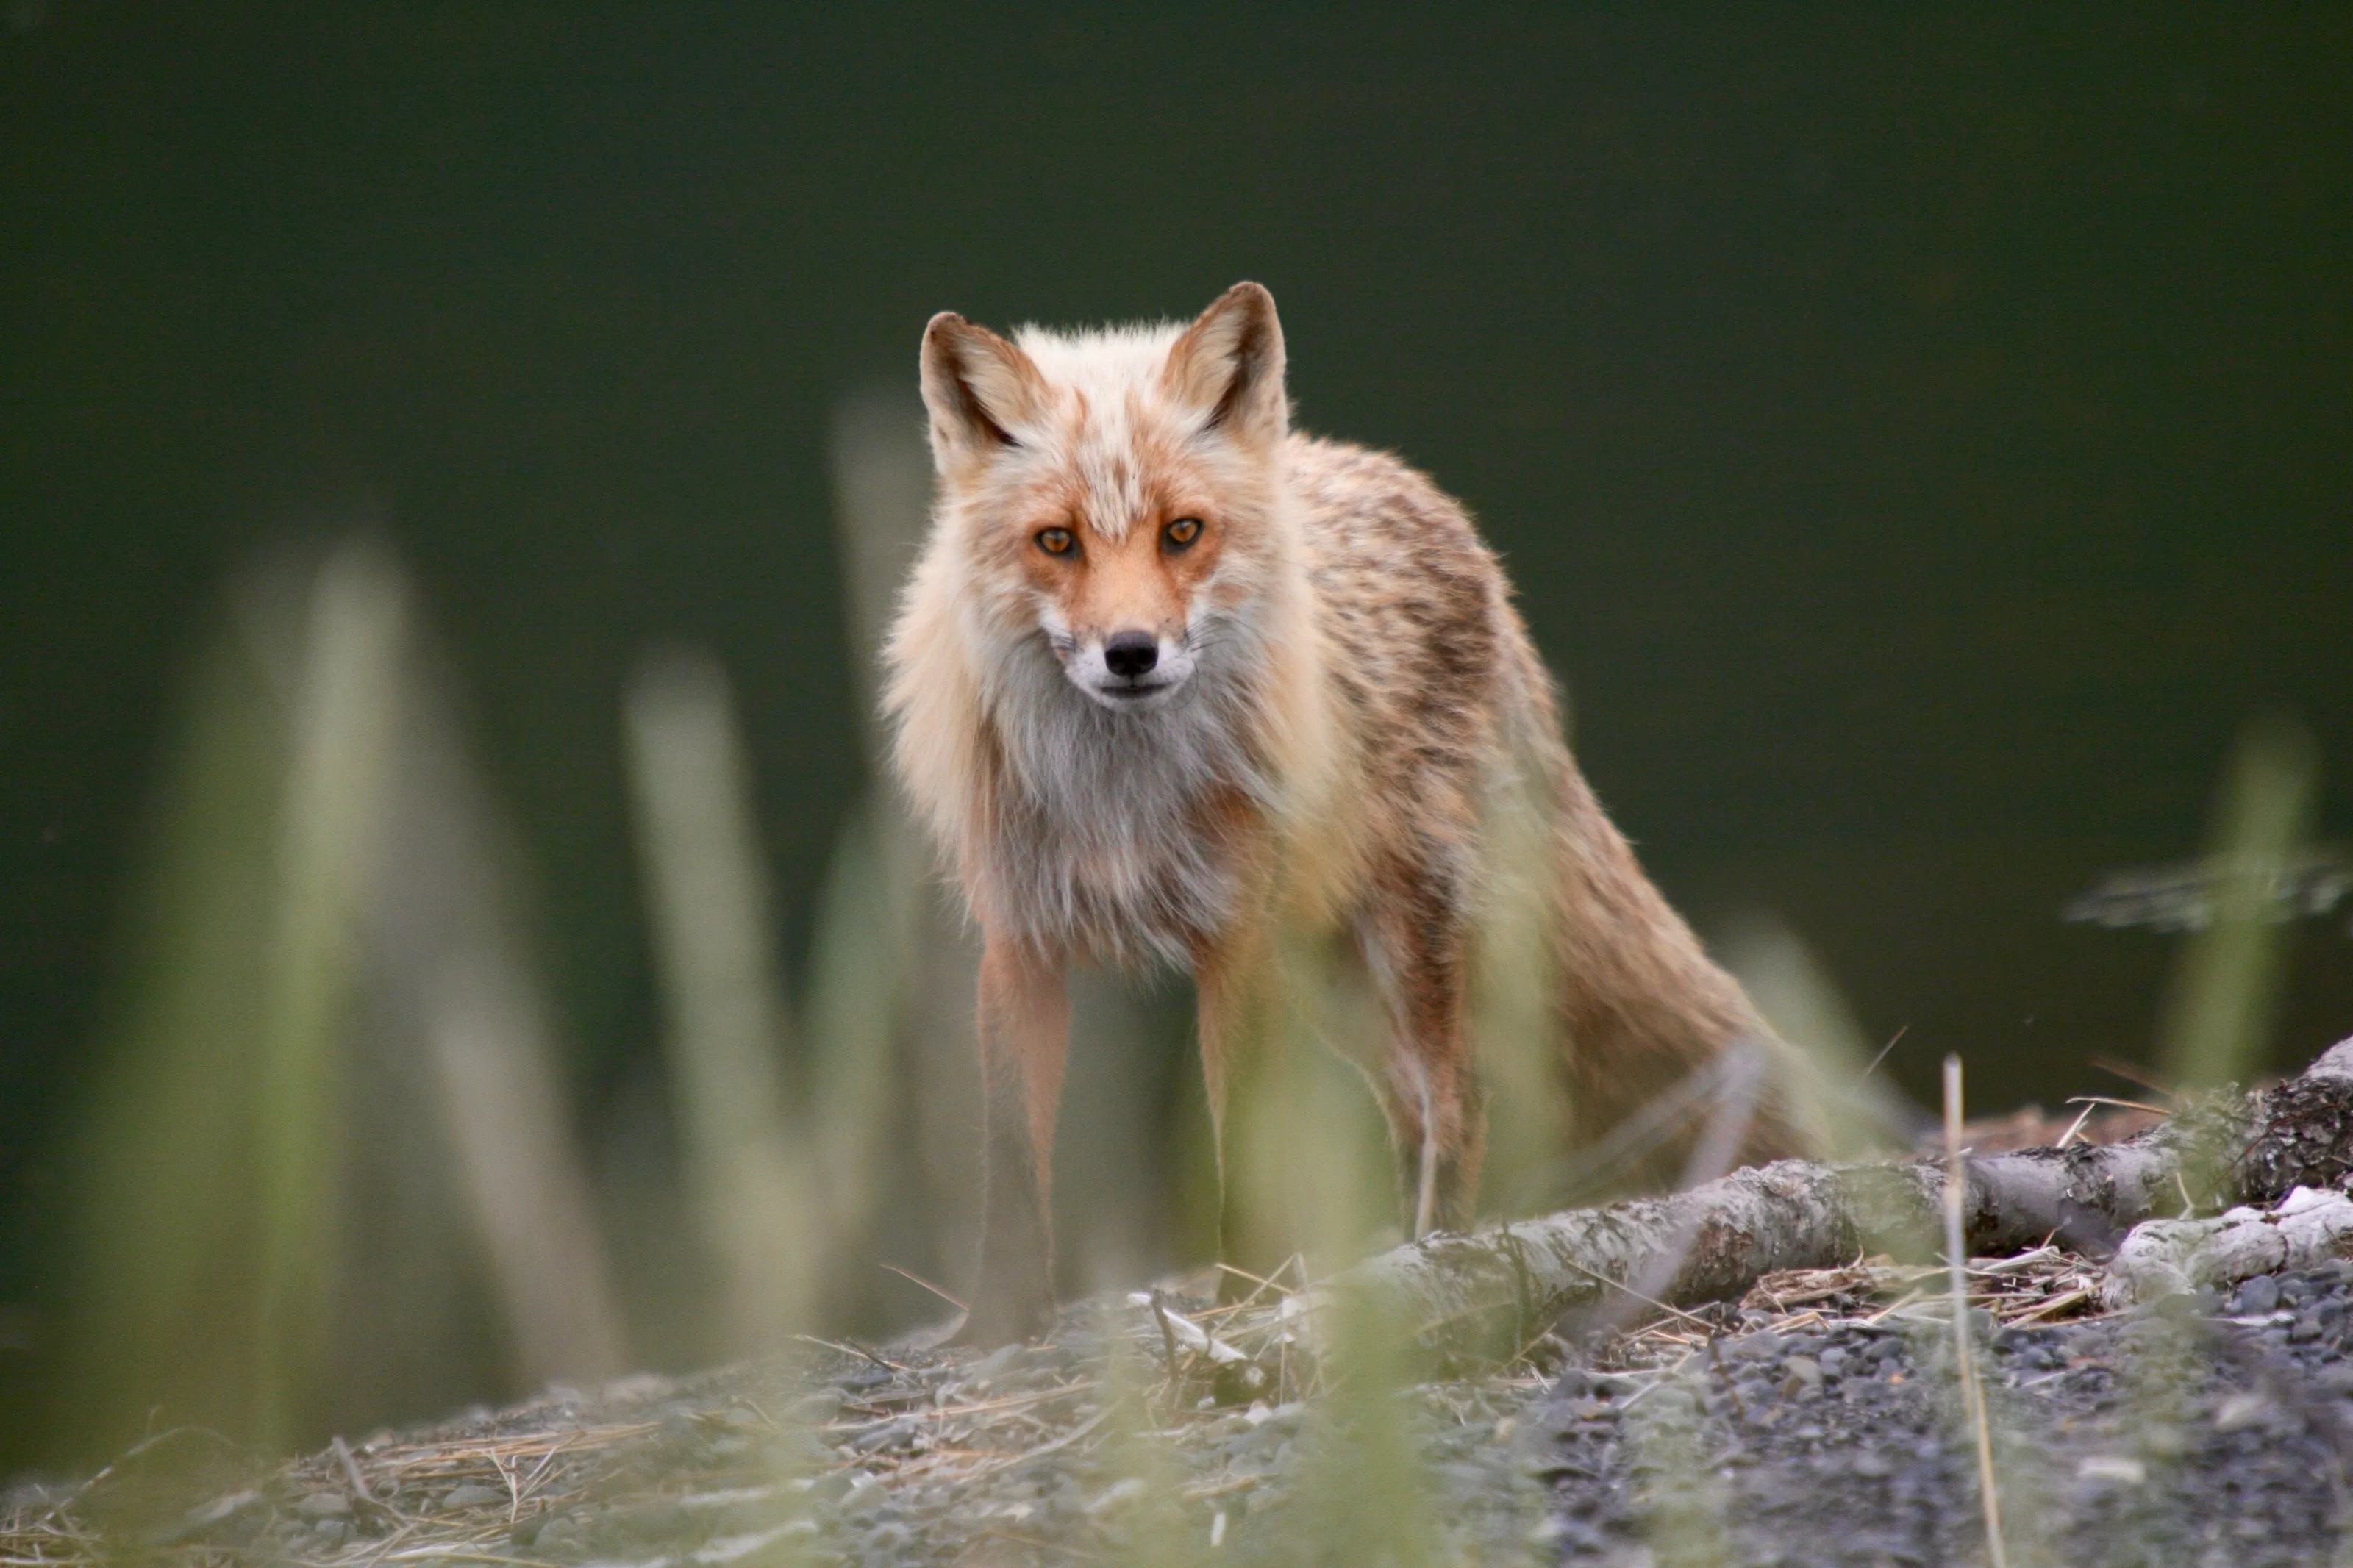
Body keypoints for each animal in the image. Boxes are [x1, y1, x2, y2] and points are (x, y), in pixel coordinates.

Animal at [884, 282, 1809, 1343]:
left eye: (1182, 533)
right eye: (1057, 542)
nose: (1131, 652)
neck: (1122, 794)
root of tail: (1439, 511)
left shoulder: (1233, 943)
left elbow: (1241, 1156)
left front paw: (1243, 1306)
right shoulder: (1020, 941)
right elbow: (1009, 1164)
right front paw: (999, 1329)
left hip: (1404, 944)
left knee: (1459, 1100)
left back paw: (1439, 1260)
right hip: (1331, 981)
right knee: (1408, 1107)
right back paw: (1389, 1265)